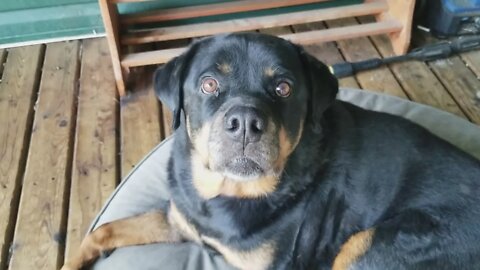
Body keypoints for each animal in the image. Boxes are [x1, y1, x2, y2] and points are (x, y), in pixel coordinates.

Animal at [62, 32, 480, 268]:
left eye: (284, 88)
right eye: (209, 83)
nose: (246, 122)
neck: (225, 194)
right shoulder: (180, 219)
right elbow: (104, 231)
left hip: (375, 243)